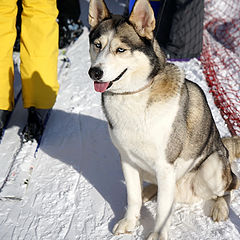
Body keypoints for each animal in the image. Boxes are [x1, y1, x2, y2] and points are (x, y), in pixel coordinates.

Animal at [88, 0, 240, 239]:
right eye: (97, 44)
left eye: (120, 49)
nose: (94, 72)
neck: (133, 94)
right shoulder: (127, 160)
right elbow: (132, 197)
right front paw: (129, 221)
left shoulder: (165, 165)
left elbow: (162, 211)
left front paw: (157, 235)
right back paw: (148, 191)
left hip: (212, 167)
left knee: (229, 187)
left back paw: (220, 208)